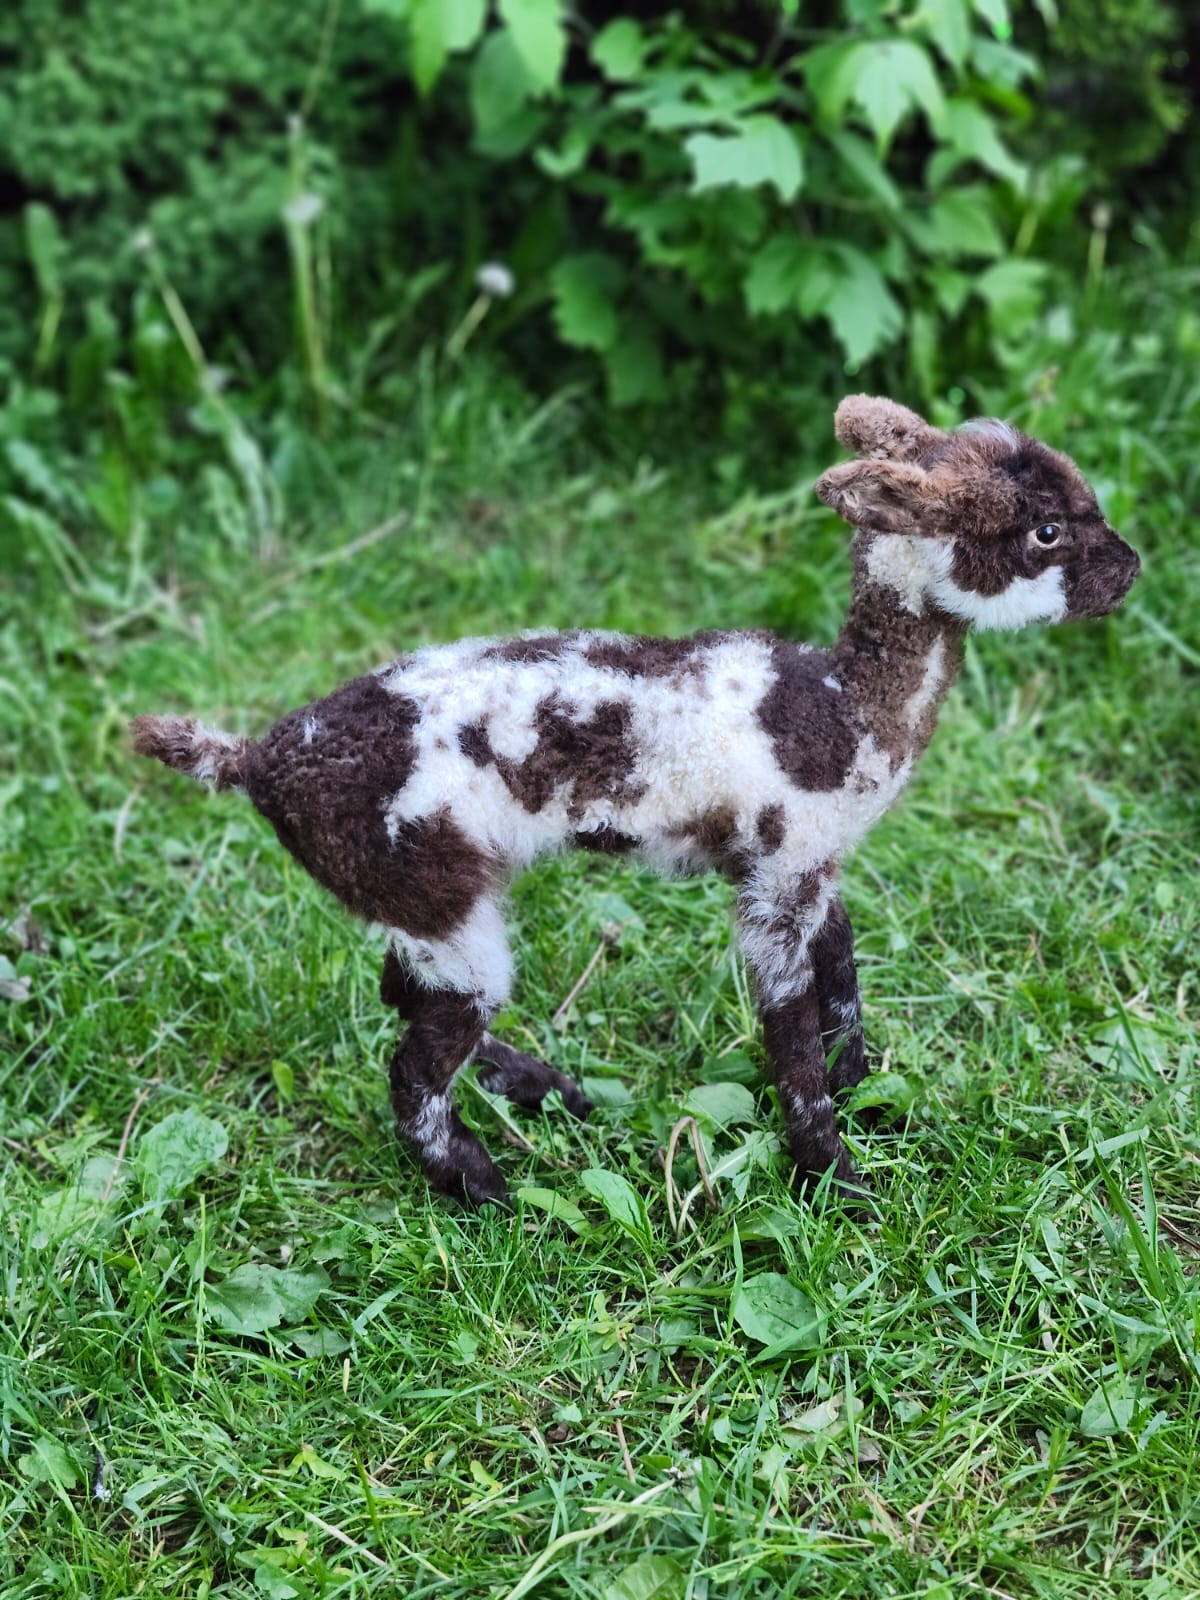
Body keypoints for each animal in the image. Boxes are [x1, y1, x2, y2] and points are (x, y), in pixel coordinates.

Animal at [131, 395, 1140, 1208]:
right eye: (1045, 532)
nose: (1131, 568)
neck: (837, 710)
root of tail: (257, 762)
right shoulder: (777, 882)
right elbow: (790, 1027)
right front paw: (837, 1180)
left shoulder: (810, 867)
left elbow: (844, 980)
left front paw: (867, 1096)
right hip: (426, 884)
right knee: (417, 1060)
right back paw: (483, 1185)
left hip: (416, 898)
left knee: (402, 990)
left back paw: (545, 1088)